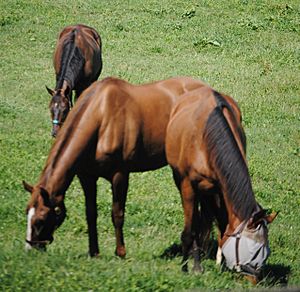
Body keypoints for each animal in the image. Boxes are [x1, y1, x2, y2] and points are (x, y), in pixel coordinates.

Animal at [24, 77, 206, 258]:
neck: (101, 118)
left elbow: (117, 214)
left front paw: (120, 252)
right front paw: (94, 252)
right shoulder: (87, 177)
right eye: (27, 212)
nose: (30, 248)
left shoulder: (120, 175)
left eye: (41, 219)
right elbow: (91, 213)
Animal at [165, 86, 278, 280]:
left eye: (266, 252)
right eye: (254, 251)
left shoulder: (223, 187)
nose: (254, 280)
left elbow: (223, 222)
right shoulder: (188, 187)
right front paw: (189, 268)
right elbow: (190, 230)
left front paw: (221, 261)